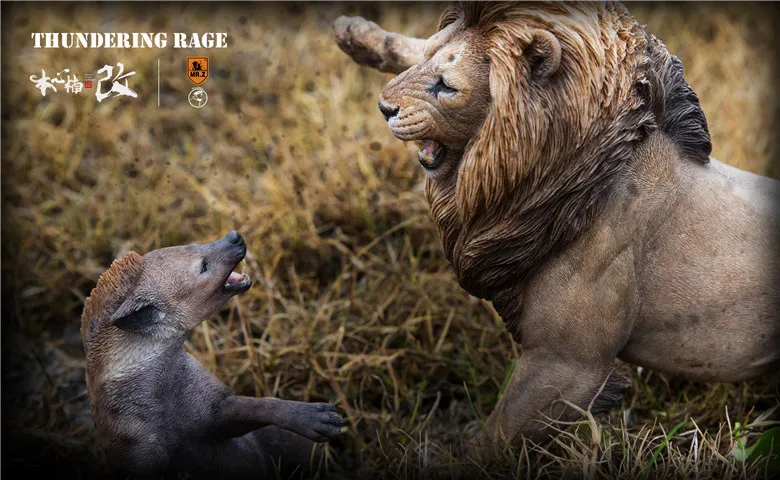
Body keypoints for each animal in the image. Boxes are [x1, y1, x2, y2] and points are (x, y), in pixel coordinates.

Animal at [334, 1, 780, 460]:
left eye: (446, 86)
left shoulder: (569, 364)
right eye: (427, 63)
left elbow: (491, 441)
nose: (383, 107)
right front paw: (357, 35)